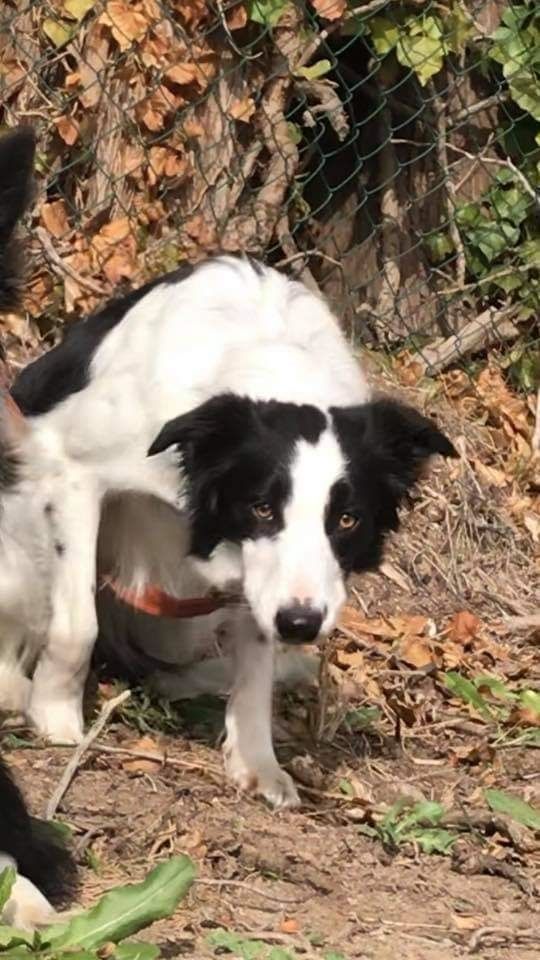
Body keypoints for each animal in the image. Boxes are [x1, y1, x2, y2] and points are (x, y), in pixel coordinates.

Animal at [4, 131, 456, 808]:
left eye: (347, 520)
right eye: (261, 506)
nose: (303, 624)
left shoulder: (261, 582)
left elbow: (258, 659)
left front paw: (256, 760)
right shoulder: (70, 472)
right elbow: (75, 622)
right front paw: (55, 716)